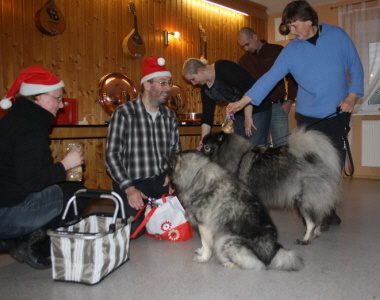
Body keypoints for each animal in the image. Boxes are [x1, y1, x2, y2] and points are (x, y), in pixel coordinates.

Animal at [166, 151, 302, 270]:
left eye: (168, 167)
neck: (196, 174)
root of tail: (273, 252)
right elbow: (204, 243)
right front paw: (201, 251)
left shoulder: (204, 225)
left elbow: (206, 243)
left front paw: (203, 257)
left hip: (226, 240)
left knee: (254, 264)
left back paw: (229, 264)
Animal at [202, 127, 342, 245]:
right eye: (202, 145)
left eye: (207, 147)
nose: (198, 153)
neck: (236, 157)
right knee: (318, 217)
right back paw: (316, 233)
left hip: (303, 200)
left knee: (312, 221)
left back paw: (306, 238)